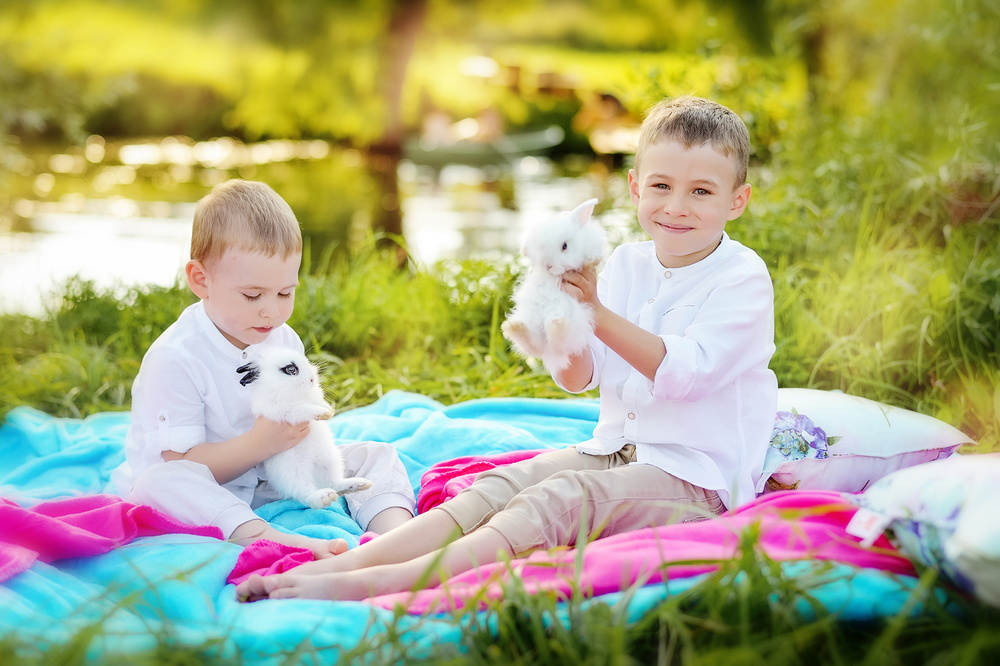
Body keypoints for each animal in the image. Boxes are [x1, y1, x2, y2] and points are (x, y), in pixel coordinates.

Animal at [237, 348, 372, 508]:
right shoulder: (286, 412)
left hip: (331, 460)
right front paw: (325, 414)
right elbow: (304, 408)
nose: (312, 379)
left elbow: (318, 402)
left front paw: (329, 410)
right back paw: (324, 497)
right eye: (291, 370)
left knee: (335, 484)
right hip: (295, 472)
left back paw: (360, 484)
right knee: (306, 494)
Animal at [504, 197, 604, 374]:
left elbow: (593, 256)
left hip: (577, 320)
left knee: (559, 345)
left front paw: (591, 262)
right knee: (536, 348)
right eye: (538, 246)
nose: (547, 265)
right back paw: (515, 327)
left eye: (564, 246)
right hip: (530, 317)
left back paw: (557, 326)